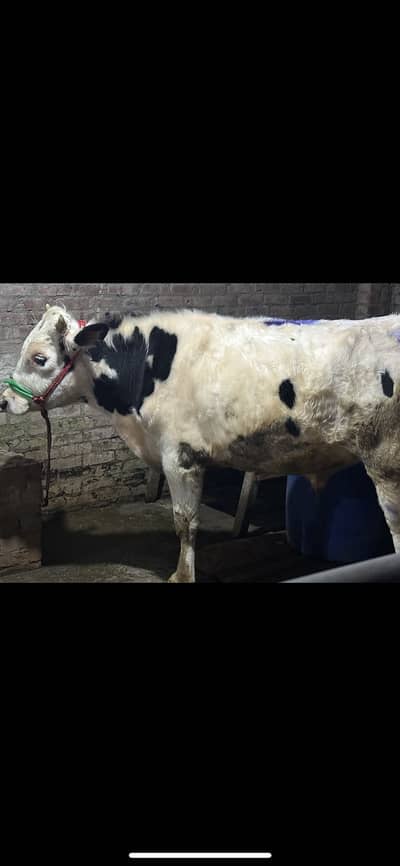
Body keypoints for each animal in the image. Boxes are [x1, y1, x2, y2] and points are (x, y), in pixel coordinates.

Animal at [1, 304, 400, 581]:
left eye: (40, 358)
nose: (5, 400)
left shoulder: (178, 455)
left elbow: (185, 522)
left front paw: (182, 575)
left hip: (386, 464)